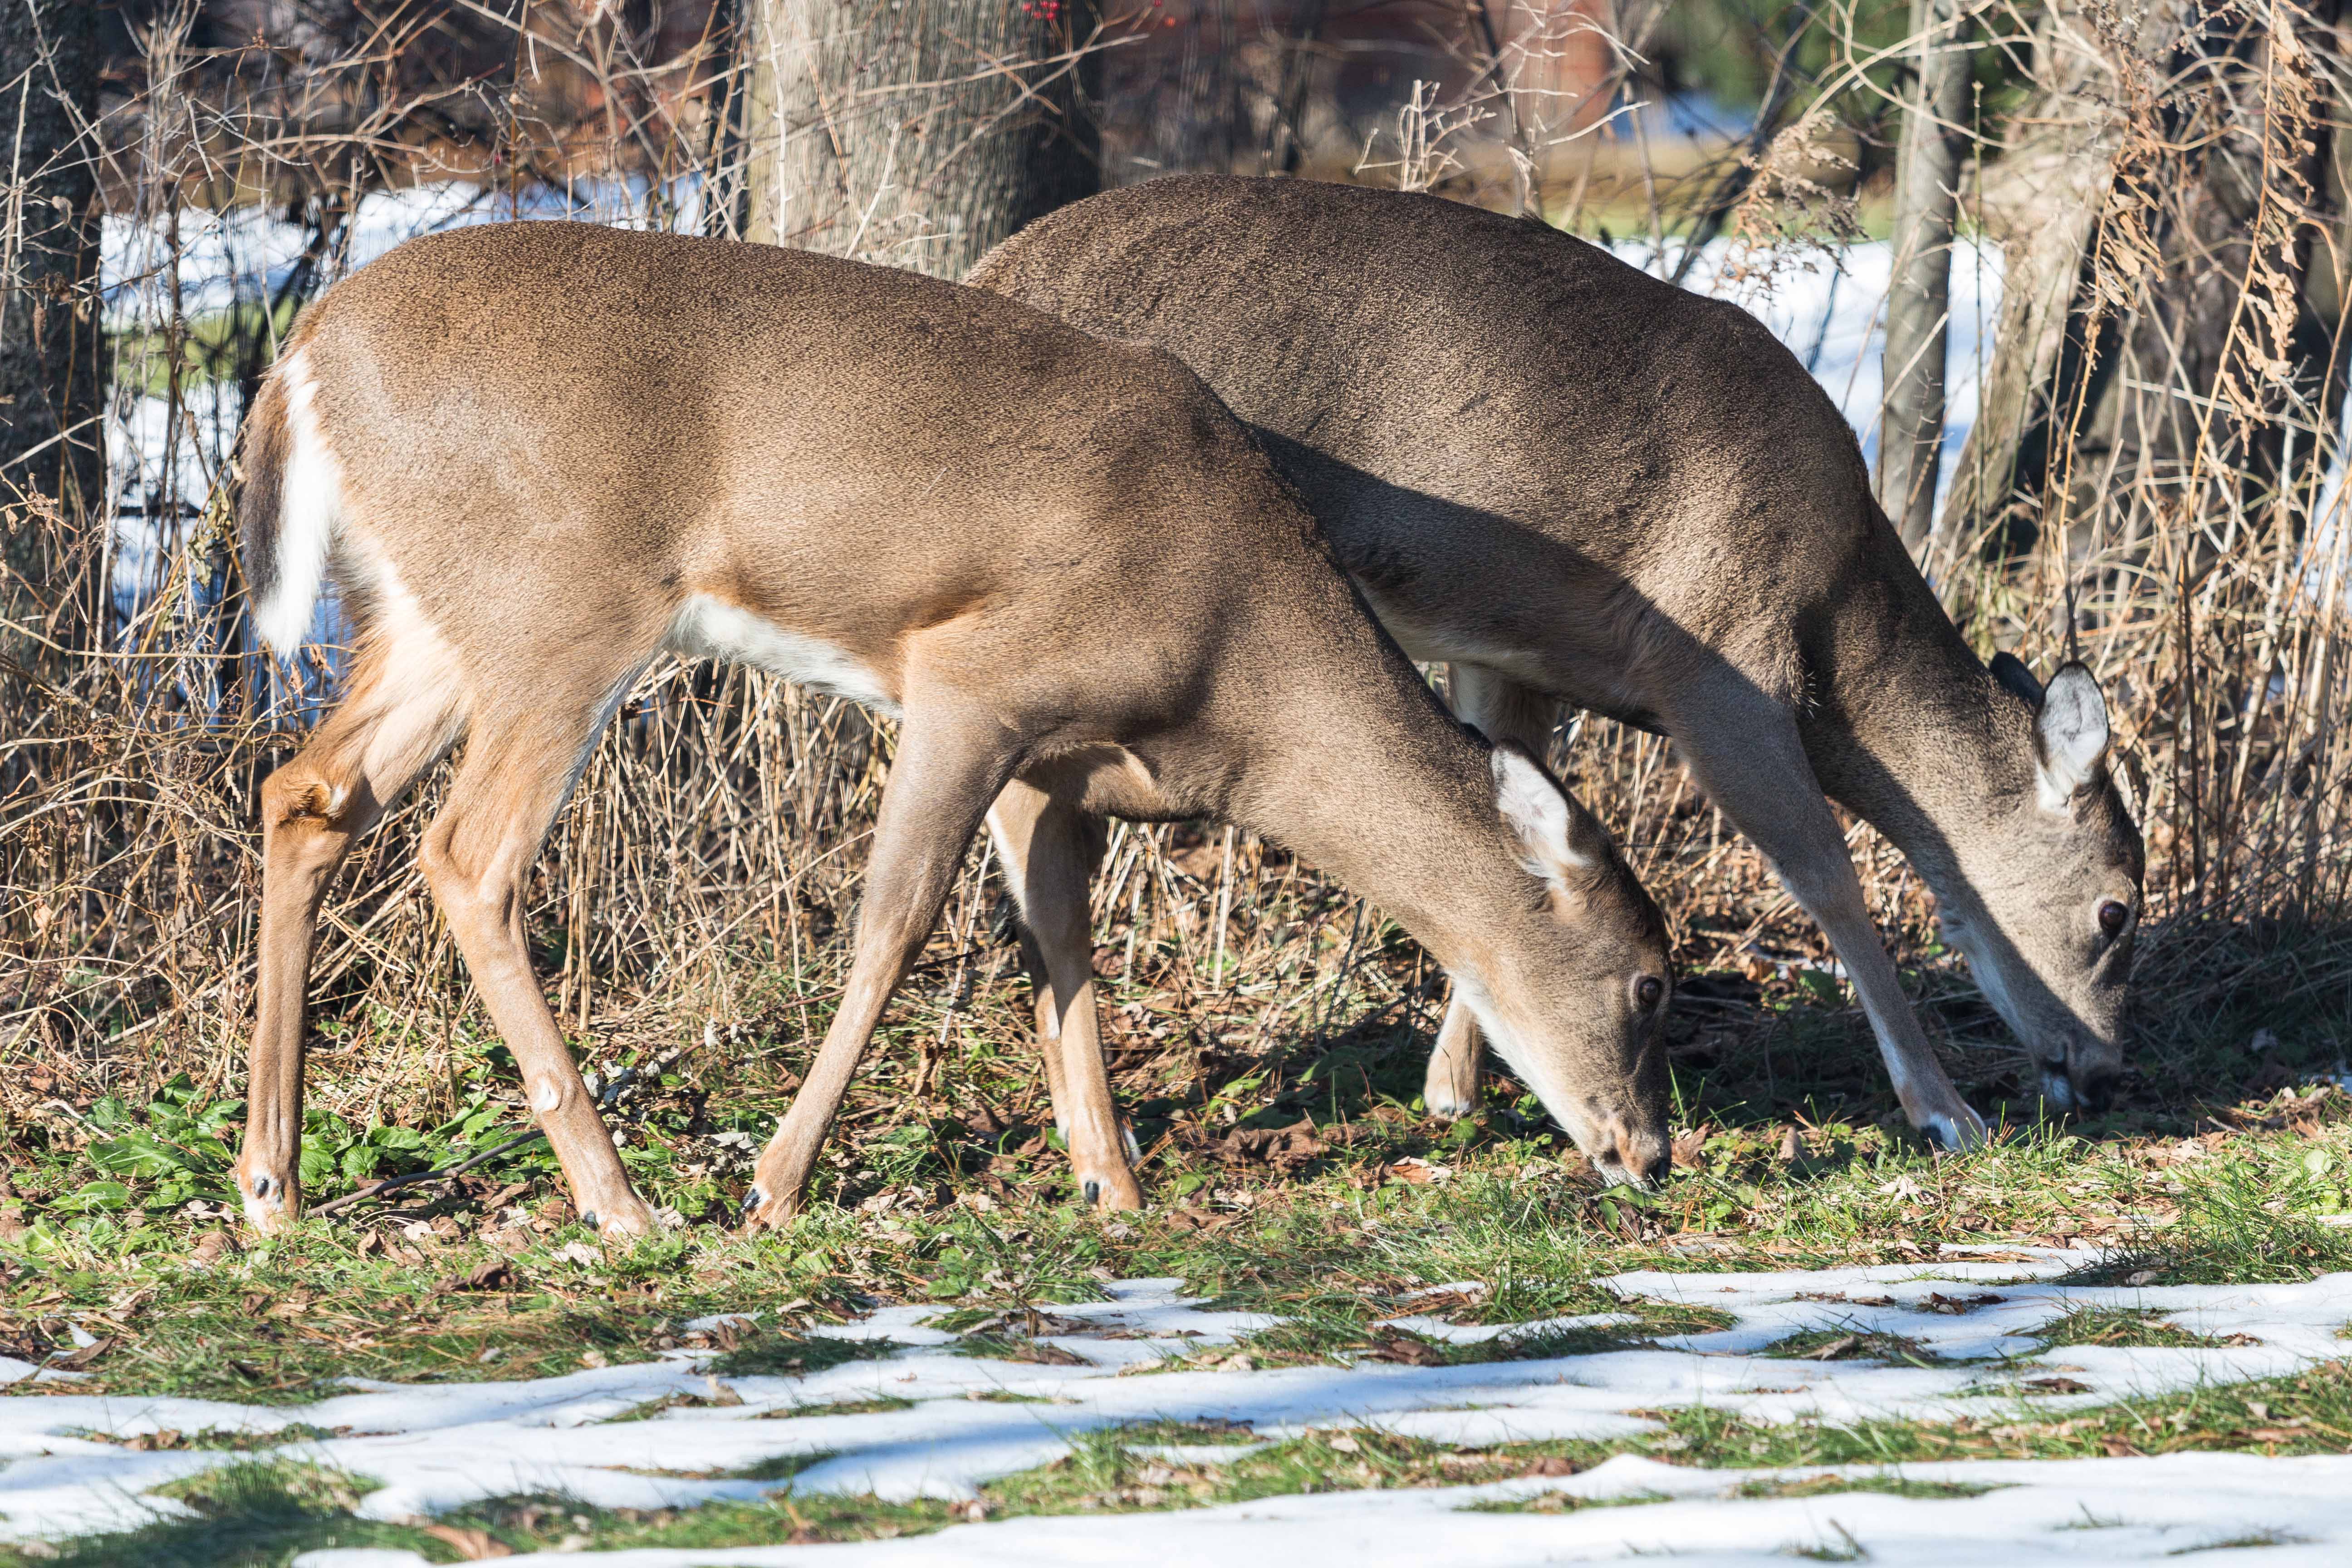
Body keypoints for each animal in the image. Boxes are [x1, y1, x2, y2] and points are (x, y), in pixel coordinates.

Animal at [234, 217, 1675, 1241]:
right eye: (1650, 982)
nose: (1654, 1154)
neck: (1235, 668)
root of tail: (302, 358)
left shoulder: (1054, 764)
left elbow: (1063, 946)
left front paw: (1111, 1183)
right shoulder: (970, 675)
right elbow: (897, 922)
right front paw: (775, 1184)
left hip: (435, 618)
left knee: (304, 794)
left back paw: (271, 1187)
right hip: (559, 605)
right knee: (467, 856)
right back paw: (617, 1200)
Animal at [960, 177, 2154, 1147]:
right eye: (2116, 909)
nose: (2101, 1070)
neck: (1838, 631)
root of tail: (990, 267)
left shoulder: (1511, 652)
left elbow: (1517, 806)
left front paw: (1453, 1087)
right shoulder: (1719, 663)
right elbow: (1827, 876)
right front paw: (1944, 1109)